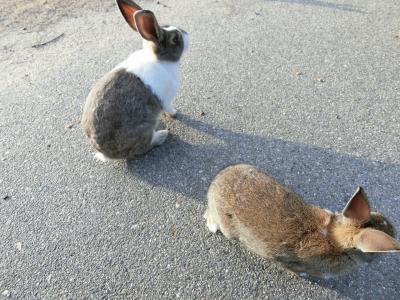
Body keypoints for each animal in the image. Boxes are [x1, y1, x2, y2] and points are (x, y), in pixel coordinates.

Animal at [81, 0, 189, 162]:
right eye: (175, 39)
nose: (187, 34)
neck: (159, 59)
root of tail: (105, 154)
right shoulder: (166, 99)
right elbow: (170, 109)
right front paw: (176, 114)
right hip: (143, 130)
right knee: (142, 148)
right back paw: (162, 135)